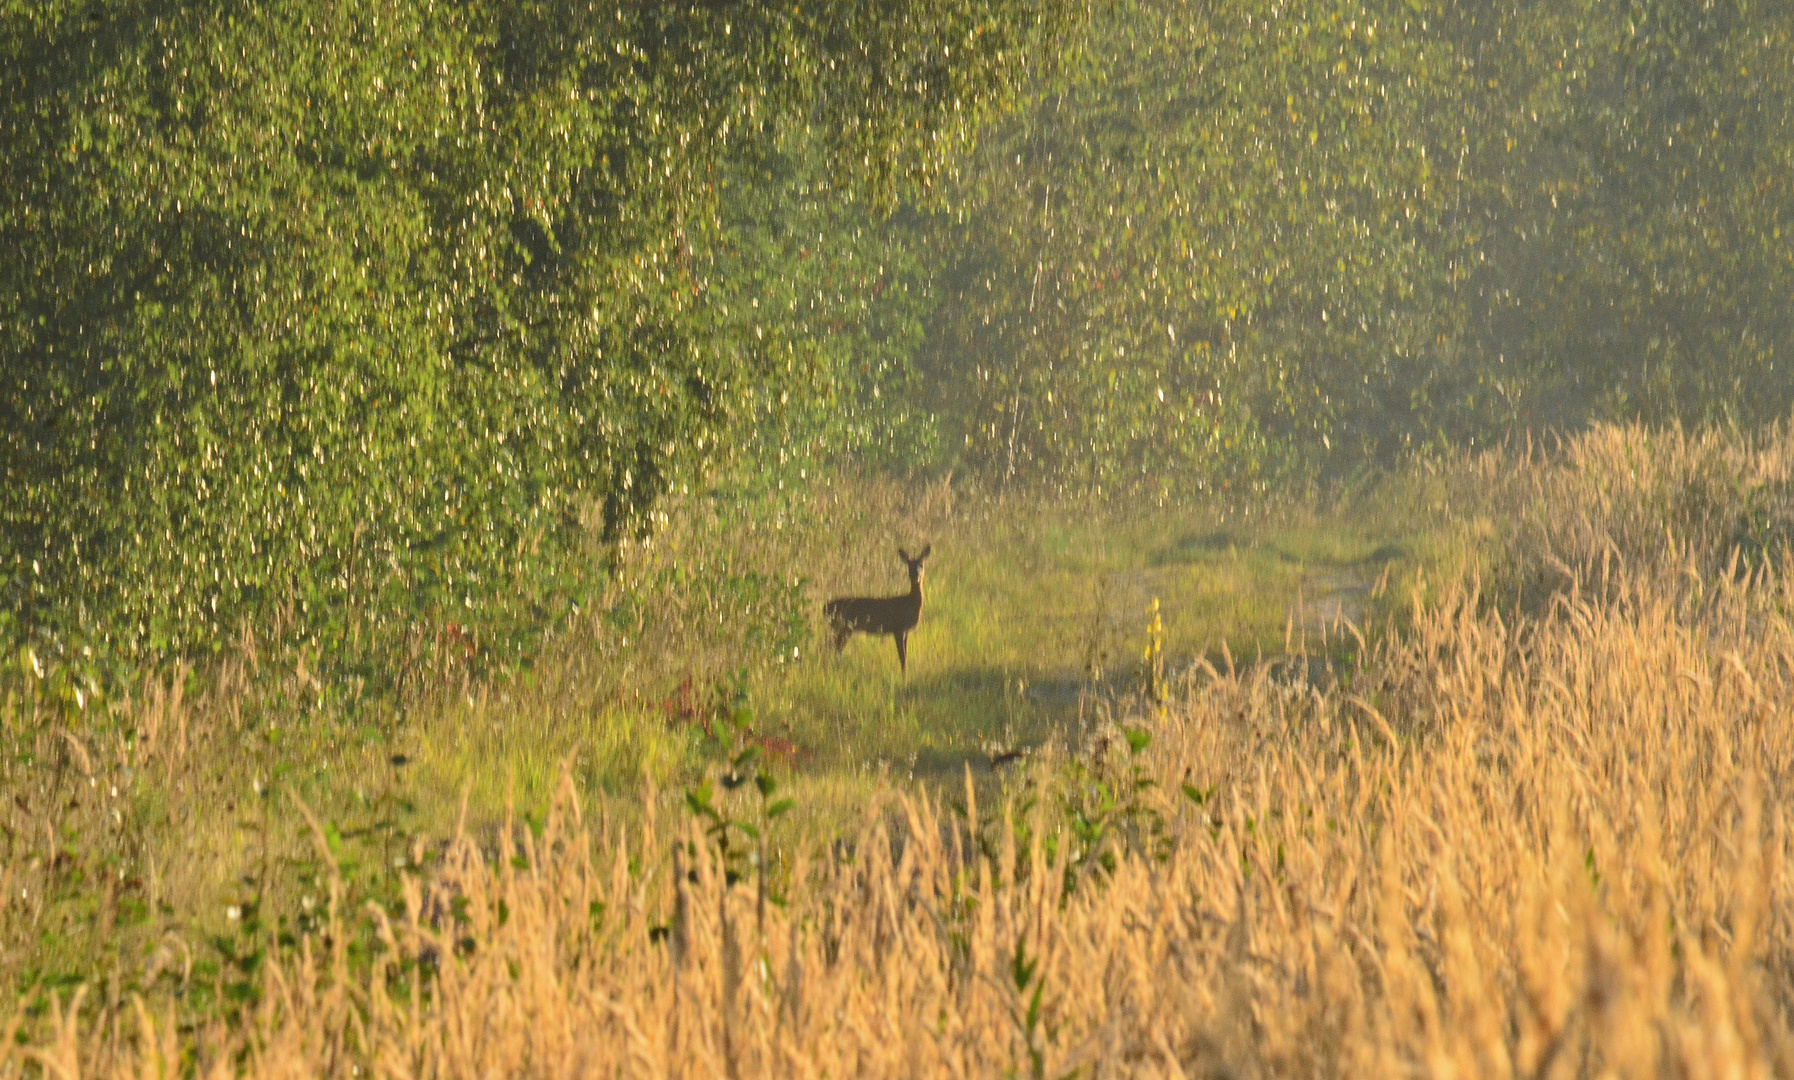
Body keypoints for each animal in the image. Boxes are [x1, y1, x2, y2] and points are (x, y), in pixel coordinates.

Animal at [825, 545, 932, 674]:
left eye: (921, 564)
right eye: (909, 565)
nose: (916, 575)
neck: (910, 602)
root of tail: (825, 608)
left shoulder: (905, 631)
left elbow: (905, 655)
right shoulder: (898, 628)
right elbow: (902, 657)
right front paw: (904, 675)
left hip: (842, 628)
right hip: (843, 627)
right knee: (833, 648)